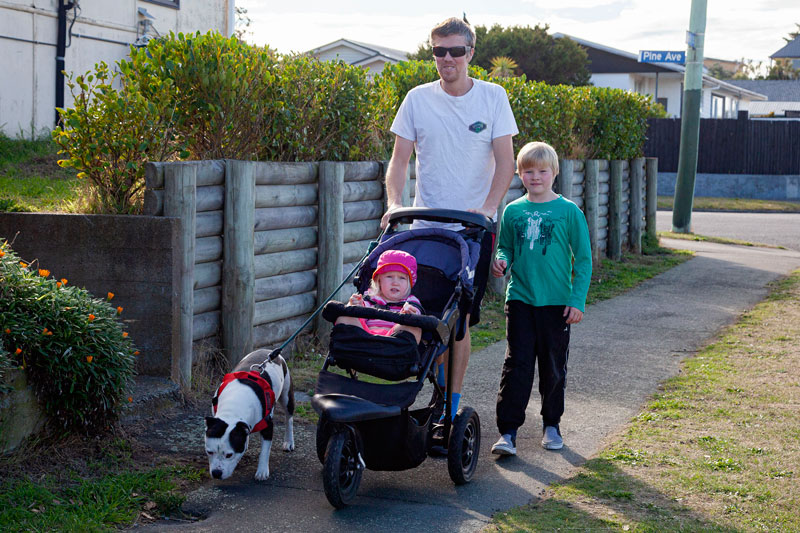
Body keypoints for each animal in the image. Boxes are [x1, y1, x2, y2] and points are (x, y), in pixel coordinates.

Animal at [205, 348, 296, 480]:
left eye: (229, 455)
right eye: (209, 452)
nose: (216, 473)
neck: (233, 409)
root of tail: (269, 350)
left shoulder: (268, 426)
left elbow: (265, 450)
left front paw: (262, 471)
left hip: (286, 394)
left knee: (289, 417)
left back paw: (289, 442)